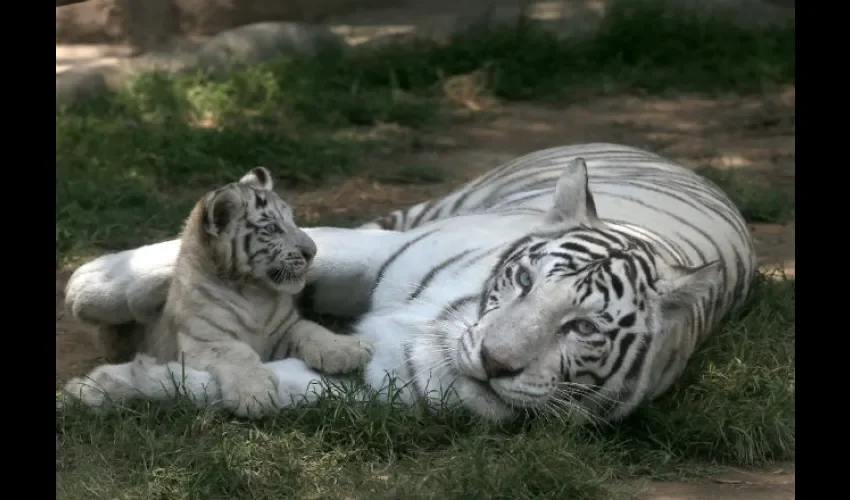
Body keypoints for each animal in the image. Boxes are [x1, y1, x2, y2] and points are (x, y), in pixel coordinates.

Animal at [63, 143, 752, 424]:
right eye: (525, 281)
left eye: (582, 328)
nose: (494, 362)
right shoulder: (377, 251)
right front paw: (93, 286)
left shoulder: (380, 382)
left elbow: (240, 379)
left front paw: (106, 388)